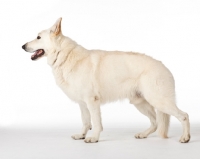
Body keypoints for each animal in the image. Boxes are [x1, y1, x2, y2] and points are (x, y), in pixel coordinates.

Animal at [21, 17, 191, 143]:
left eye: (38, 37)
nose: (22, 46)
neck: (64, 55)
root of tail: (164, 66)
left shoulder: (92, 102)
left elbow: (96, 123)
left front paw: (94, 138)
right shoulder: (83, 104)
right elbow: (85, 121)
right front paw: (82, 135)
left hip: (158, 101)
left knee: (184, 115)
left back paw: (185, 137)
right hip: (140, 103)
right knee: (156, 122)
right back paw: (143, 134)